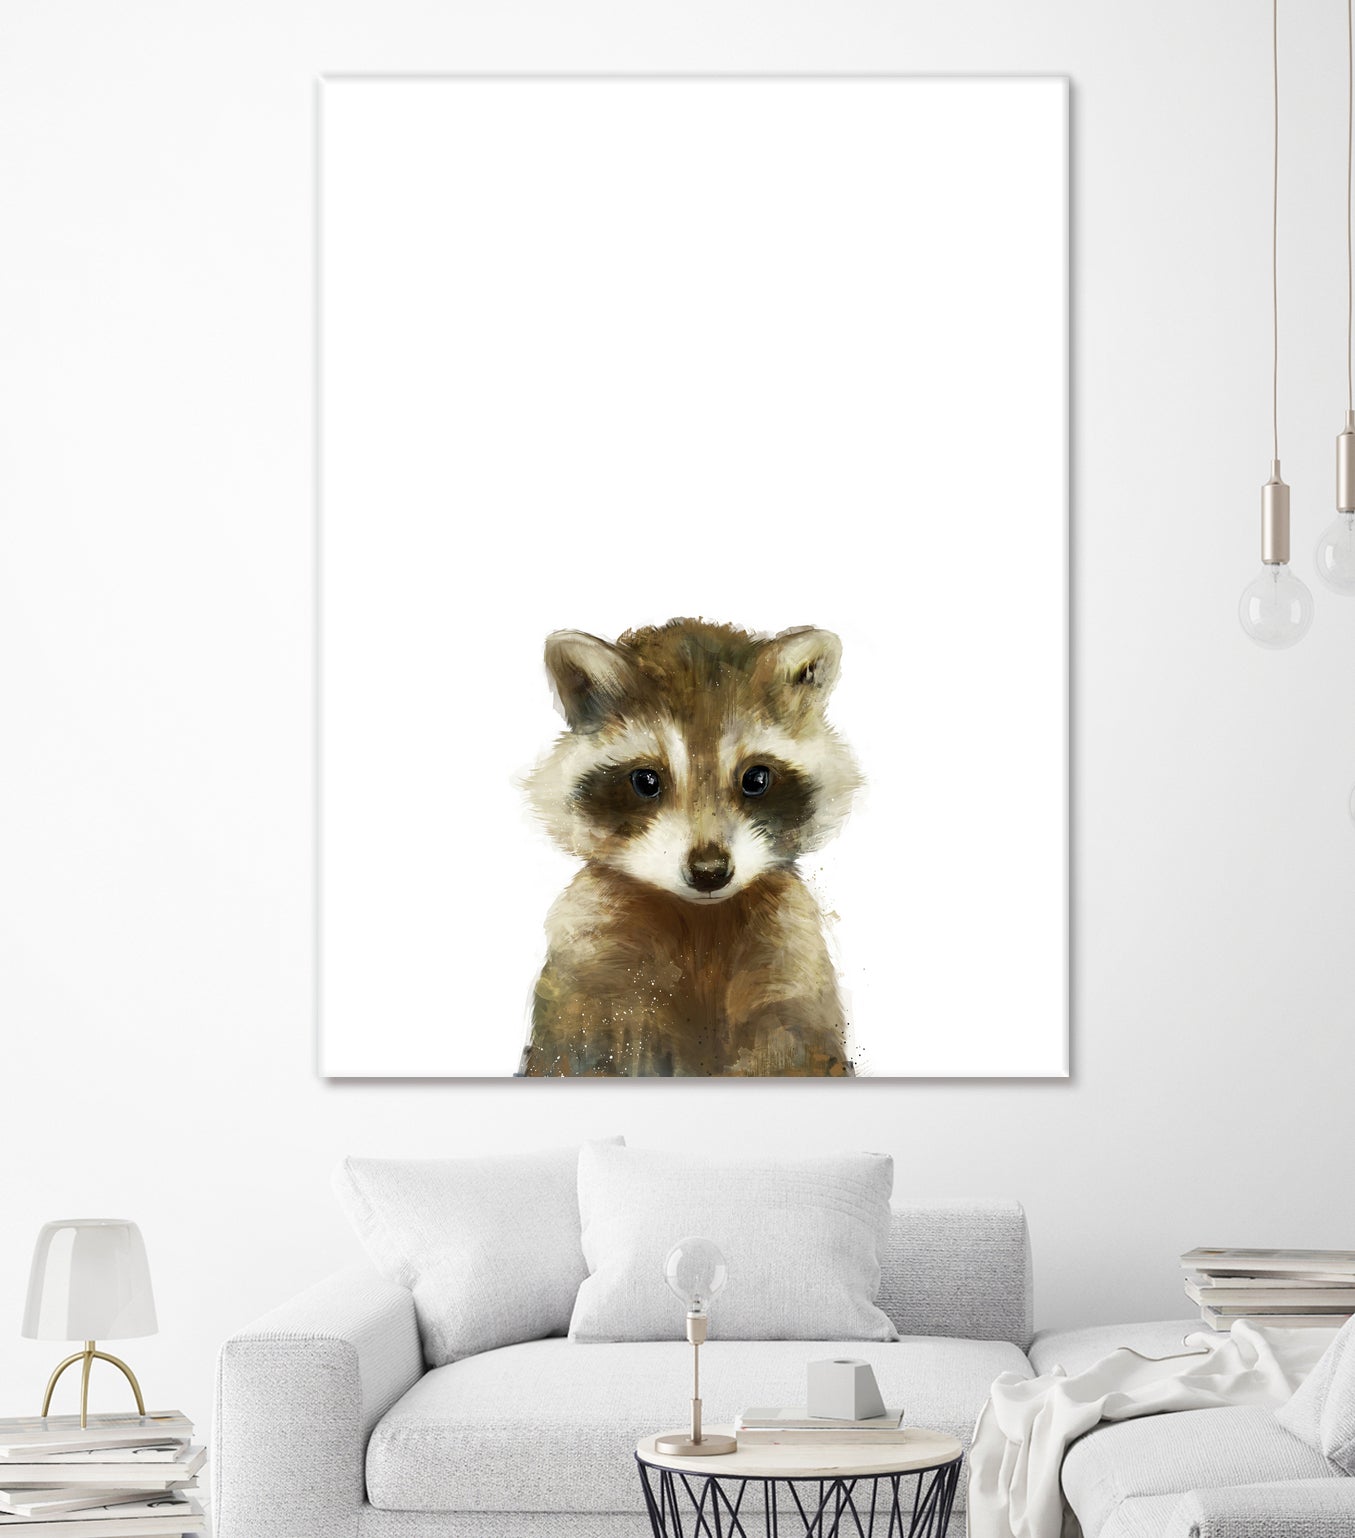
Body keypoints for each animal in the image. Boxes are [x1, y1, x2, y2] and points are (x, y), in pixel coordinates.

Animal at [518, 618, 861, 1077]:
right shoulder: (590, 964)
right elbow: (580, 1050)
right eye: (646, 780)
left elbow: (797, 1050)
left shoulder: (792, 960)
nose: (710, 871)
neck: (701, 921)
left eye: (756, 779)